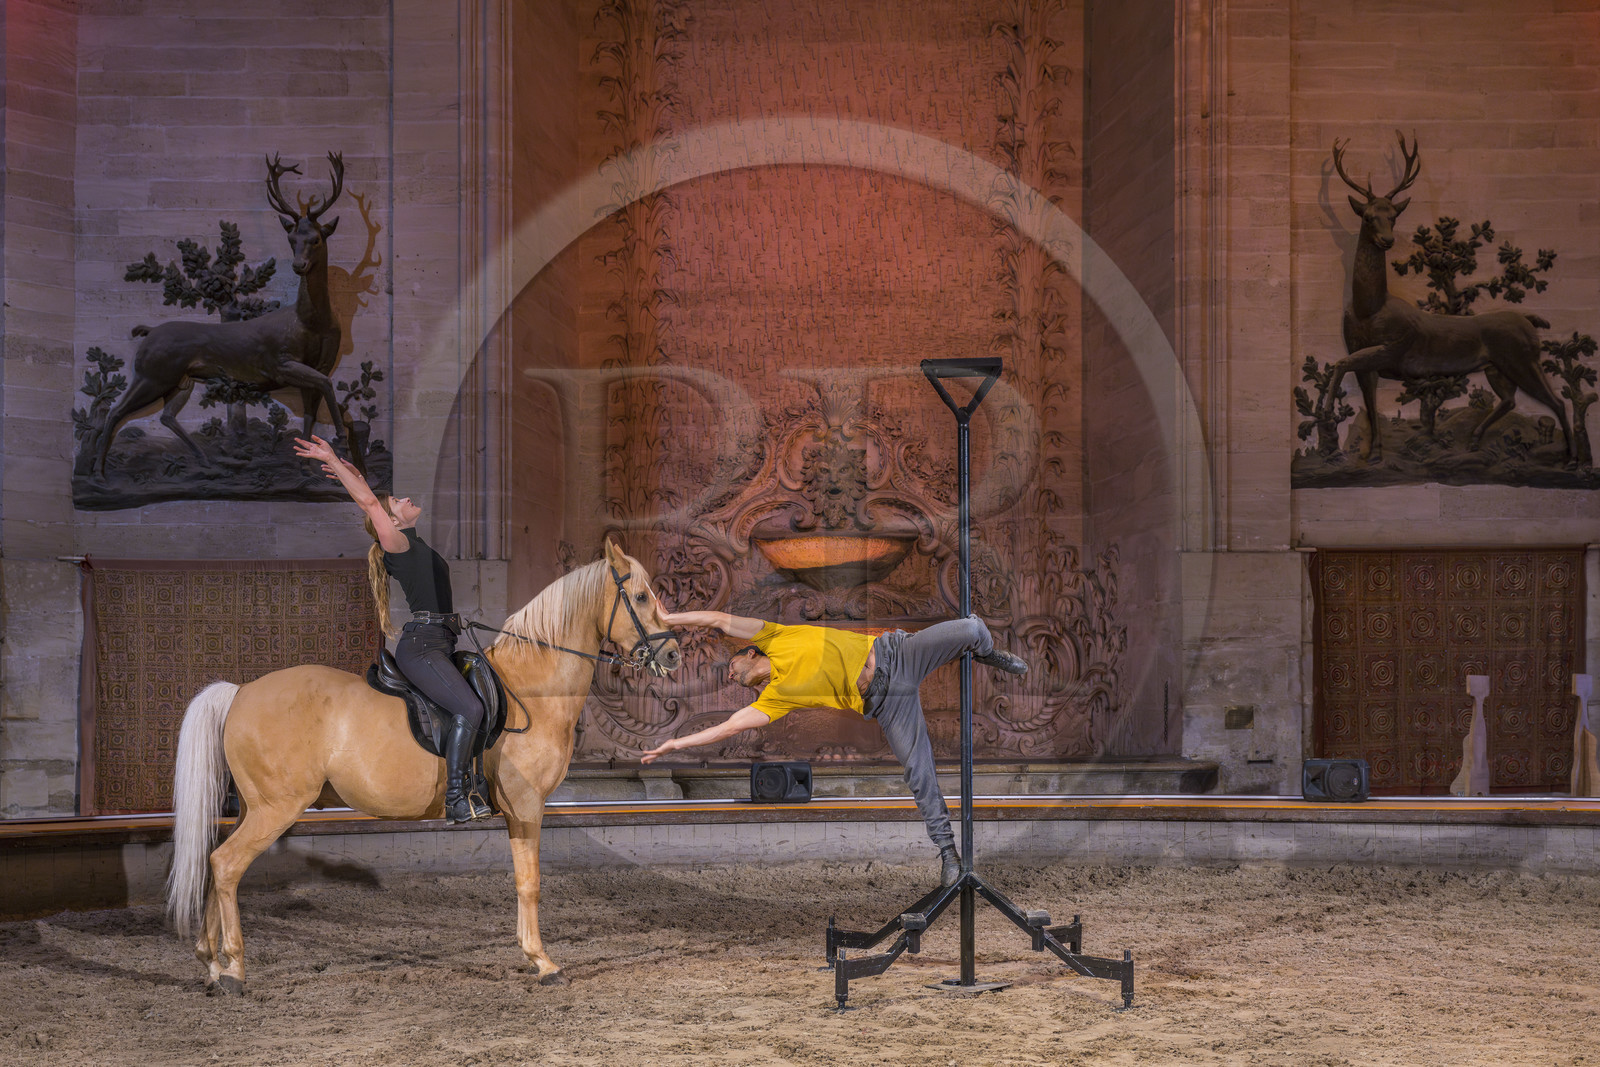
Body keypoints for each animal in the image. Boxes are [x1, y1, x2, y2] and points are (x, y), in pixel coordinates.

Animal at [165, 539, 680, 994]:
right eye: (639, 597)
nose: (673, 654)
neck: (531, 688)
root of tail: (240, 692)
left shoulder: (519, 812)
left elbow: (522, 882)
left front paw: (531, 955)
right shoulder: (527, 806)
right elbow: (530, 883)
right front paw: (544, 963)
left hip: (253, 809)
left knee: (213, 860)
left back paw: (211, 964)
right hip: (276, 808)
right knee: (227, 866)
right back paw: (233, 970)